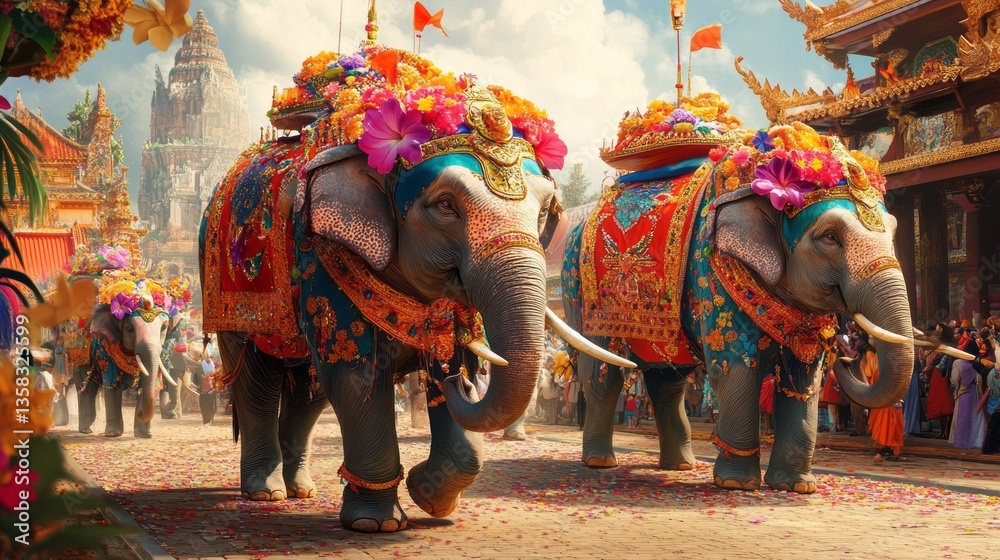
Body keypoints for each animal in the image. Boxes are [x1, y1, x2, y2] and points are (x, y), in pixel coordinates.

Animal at [199, 46, 630, 533]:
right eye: (445, 205)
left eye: (543, 212)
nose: (466, 383)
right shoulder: (321, 254)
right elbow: (354, 374)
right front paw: (377, 524)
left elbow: (435, 360)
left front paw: (432, 497)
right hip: (227, 295)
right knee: (257, 380)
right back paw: (264, 492)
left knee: (309, 389)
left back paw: (301, 490)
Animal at [561, 122, 963, 494]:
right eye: (830, 237)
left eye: (894, 232)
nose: (849, 358)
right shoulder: (712, 274)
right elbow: (736, 368)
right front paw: (736, 485)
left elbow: (804, 379)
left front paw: (797, 486)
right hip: (578, 290)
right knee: (603, 373)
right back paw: (601, 462)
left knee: (669, 379)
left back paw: (680, 466)